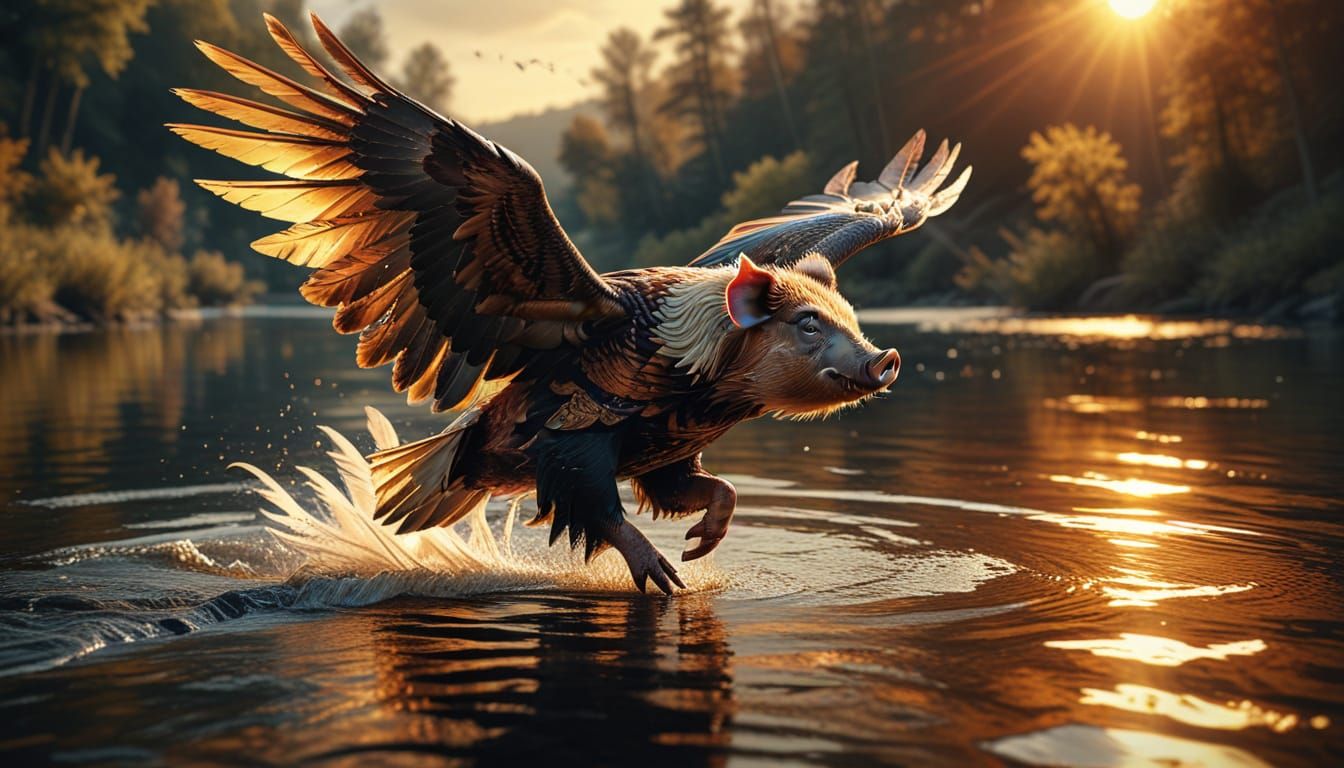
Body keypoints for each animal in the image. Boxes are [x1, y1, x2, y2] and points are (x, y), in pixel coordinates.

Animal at [171, 13, 970, 592]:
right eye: (807, 324)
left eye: (852, 320)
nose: (884, 356)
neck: (697, 379)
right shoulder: (581, 430)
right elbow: (596, 505)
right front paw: (662, 572)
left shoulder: (668, 441)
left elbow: (699, 487)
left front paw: (703, 543)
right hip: (514, 430)